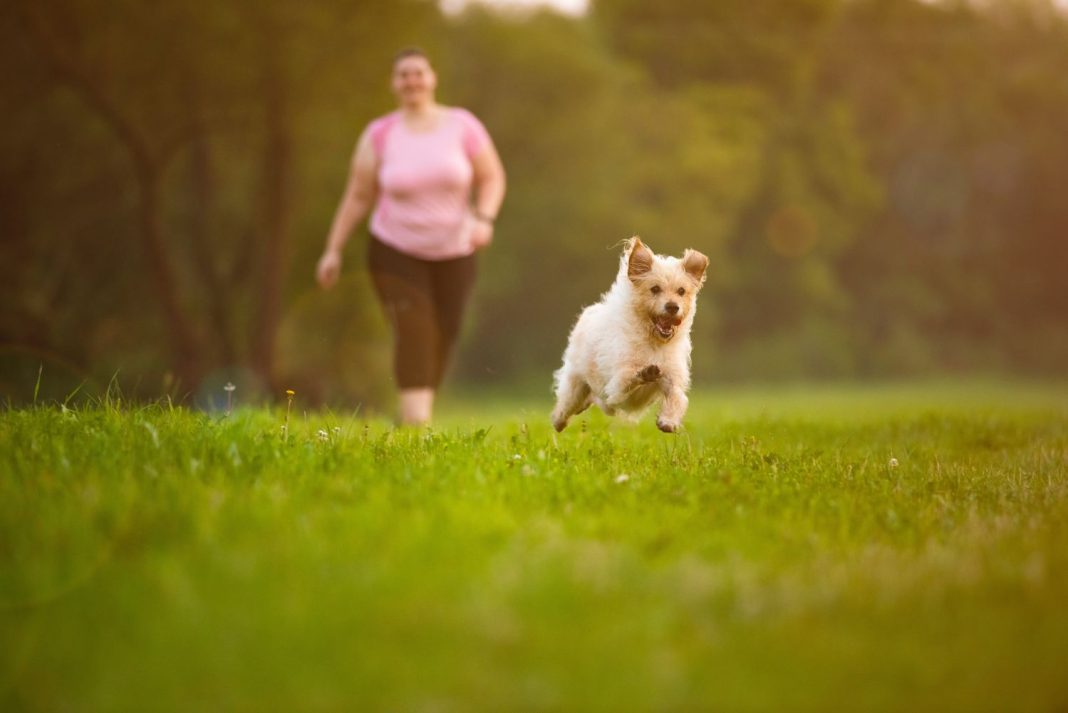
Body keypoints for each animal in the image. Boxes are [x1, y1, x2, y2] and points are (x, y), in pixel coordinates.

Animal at [551, 236, 709, 431]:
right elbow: (628, 378)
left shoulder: (672, 377)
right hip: (576, 384)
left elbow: (677, 397)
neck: (653, 342)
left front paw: (669, 420)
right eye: (655, 289)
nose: (673, 306)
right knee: (565, 406)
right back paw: (559, 420)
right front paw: (644, 373)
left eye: (681, 291)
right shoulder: (615, 386)